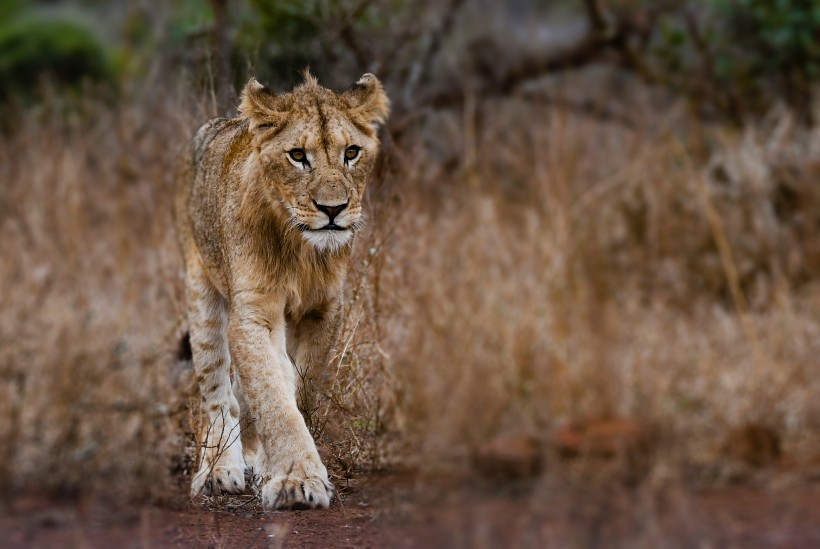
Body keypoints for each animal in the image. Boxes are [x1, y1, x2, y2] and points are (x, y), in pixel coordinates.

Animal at [174, 73, 390, 510]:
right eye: (297, 156)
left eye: (352, 152)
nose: (333, 209)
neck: (301, 249)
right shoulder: (253, 312)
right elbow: (273, 396)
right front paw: (296, 480)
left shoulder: (325, 309)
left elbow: (297, 389)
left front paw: (279, 469)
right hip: (202, 293)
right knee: (218, 393)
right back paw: (218, 470)